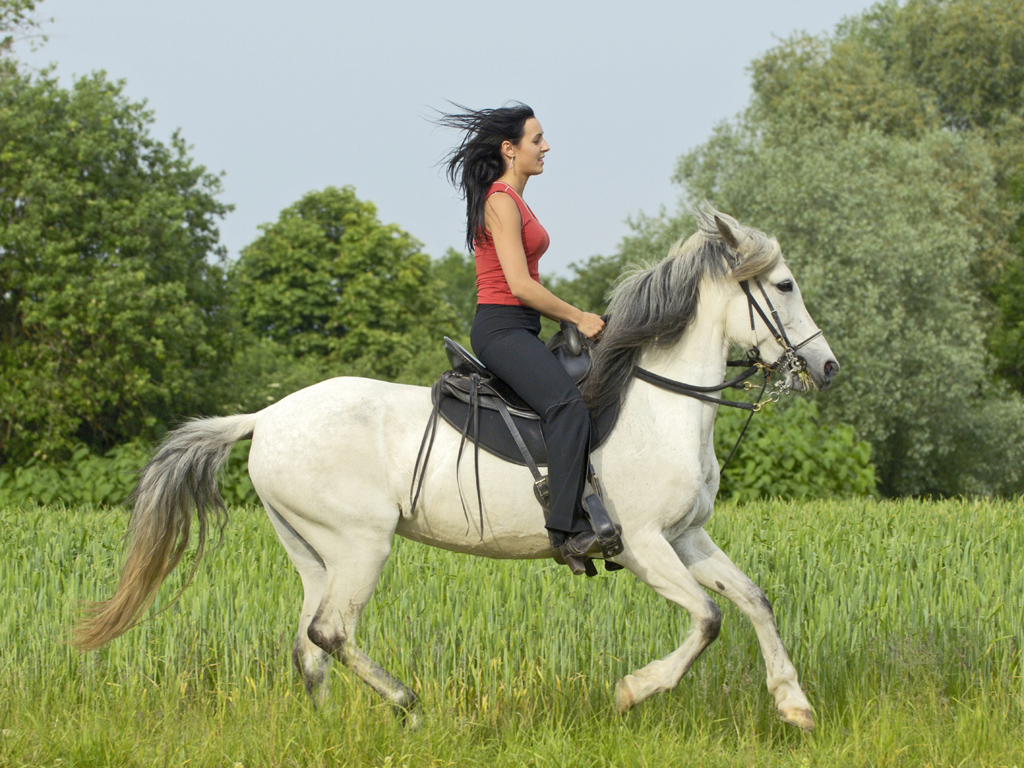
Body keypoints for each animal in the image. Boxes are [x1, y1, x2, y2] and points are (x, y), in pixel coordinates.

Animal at [74, 207, 839, 729]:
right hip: (360, 545)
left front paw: (794, 703)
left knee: (308, 644)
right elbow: (707, 620)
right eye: (784, 285)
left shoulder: (686, 536)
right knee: (331, 633)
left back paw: (328, 726)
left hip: (312, 551)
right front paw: (633, 691)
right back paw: (408, 705)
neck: (660, 402)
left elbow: (754, 599)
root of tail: (264, 417)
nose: (828, 368)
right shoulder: (645, 543)